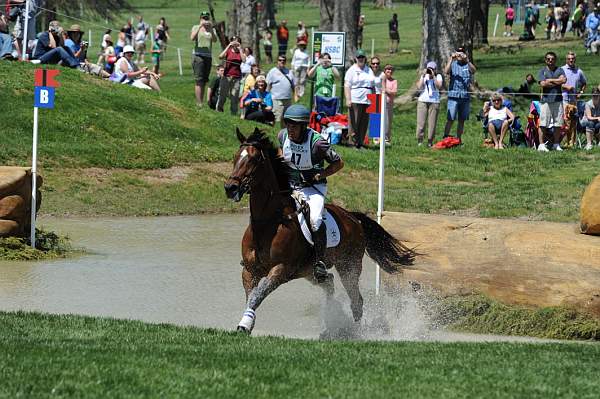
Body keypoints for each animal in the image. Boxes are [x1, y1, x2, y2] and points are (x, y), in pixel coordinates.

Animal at [223, 128, 414, 334]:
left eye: (254, 159)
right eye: (235, 157)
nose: (230, 187)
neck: (268, 223)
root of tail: (353, 218)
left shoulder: (280, 270)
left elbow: (258, 294)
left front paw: (244, 324)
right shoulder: (250, 270)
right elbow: (252, 296)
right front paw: (247, 323)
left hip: (349, 267)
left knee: (356, 301)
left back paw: (355, 332)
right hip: (309, 272)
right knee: (329, 282)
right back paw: (332, 315)